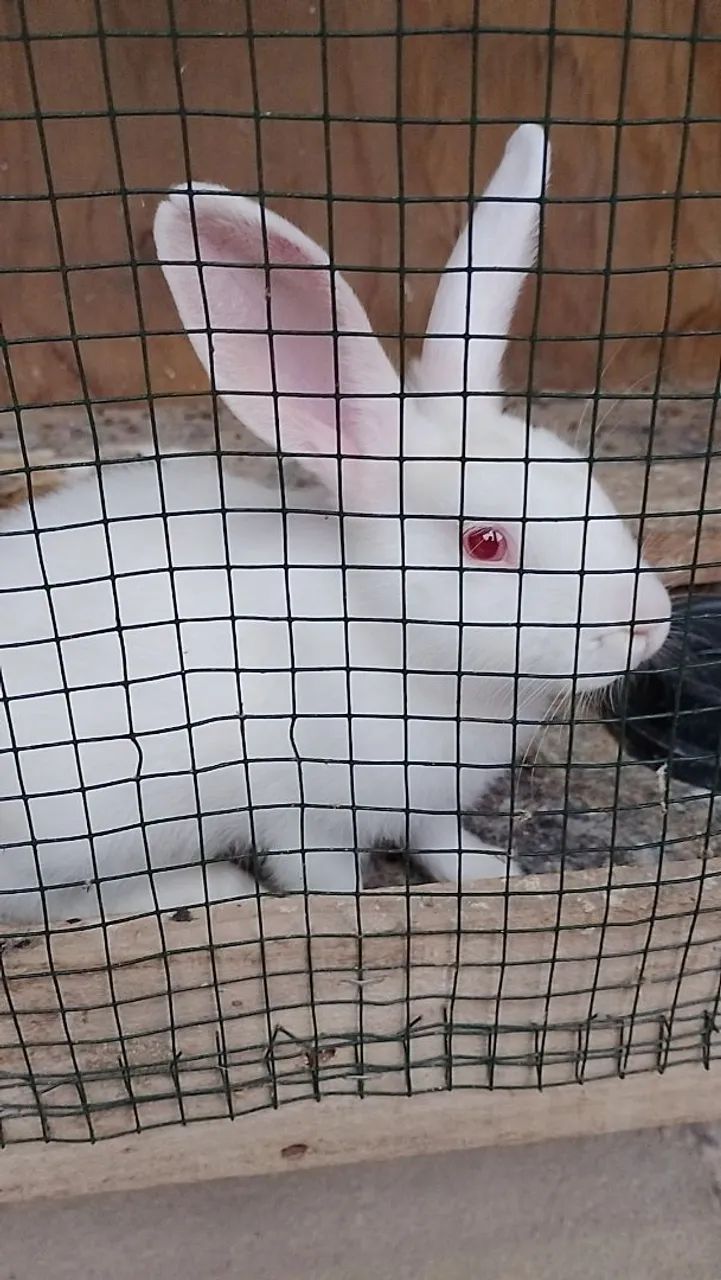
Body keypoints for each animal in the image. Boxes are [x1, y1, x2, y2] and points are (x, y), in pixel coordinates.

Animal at [0, 124, 671, 924]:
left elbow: (438, 840)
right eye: (485, 542)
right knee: (56, 902)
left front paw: (492, 874)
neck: (394, 639)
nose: (650, 620)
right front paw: (350, 908)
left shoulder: (423, 804)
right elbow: (318, 876)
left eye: (588, 479)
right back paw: (208, 888)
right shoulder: (302, 813)